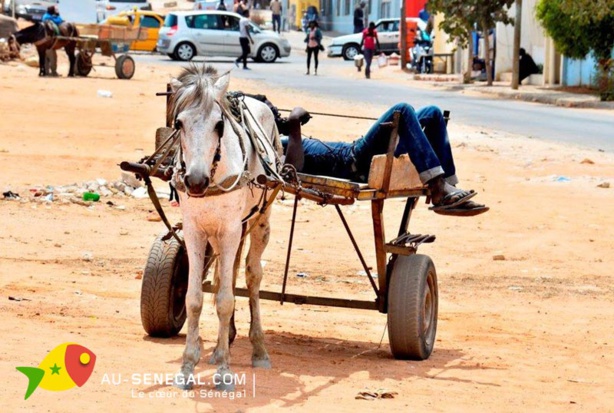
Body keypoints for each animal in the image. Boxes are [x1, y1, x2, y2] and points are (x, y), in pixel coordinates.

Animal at [168, 63, 284, 390]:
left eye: (219, 125)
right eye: (179, 123)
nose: (195, 181)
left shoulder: (231, 230)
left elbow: (225, 301)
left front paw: (224, 373)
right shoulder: (195, 231)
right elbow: (194, 298)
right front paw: (187, 368)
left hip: (258, 222)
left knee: (252, 277)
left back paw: (258, 351)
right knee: (225, 276)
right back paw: (222, 347)